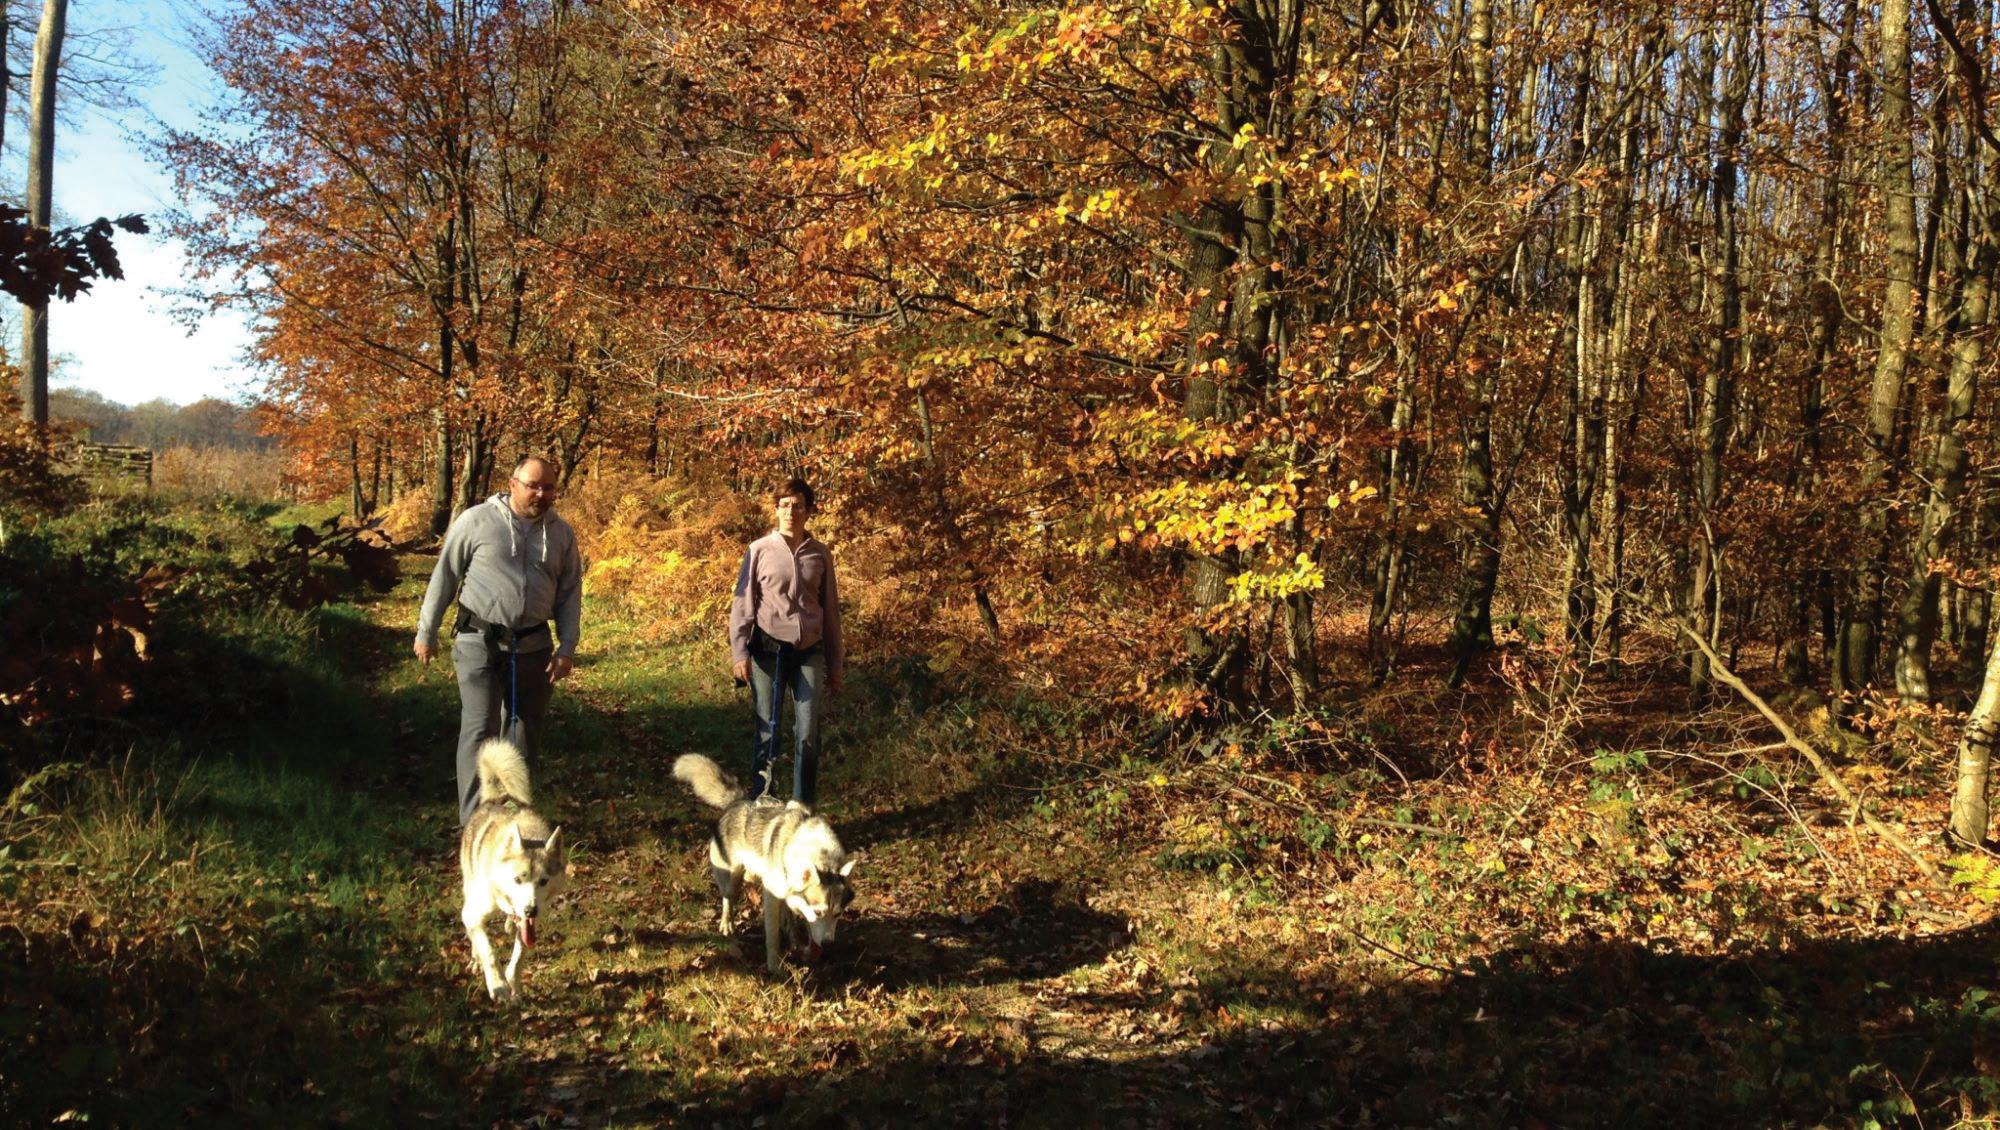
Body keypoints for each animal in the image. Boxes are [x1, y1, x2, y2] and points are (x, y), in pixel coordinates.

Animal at [458, 736, 568, 1000]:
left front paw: (513, 985)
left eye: (543, 881)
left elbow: (519, 956)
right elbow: (488, 950)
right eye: (518, 879)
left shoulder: (530, 923)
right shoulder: (473, 914)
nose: (530, 910)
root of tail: (496, 798)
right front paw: (497, 985)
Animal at [676, 752, 856, 972]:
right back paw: (727, 926)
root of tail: (738, 801)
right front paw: (775, 967)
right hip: (732, 880)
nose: (829, 944)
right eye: (819, 912)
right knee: (728, 899)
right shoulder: (772, 897)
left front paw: (802, 947)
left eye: (838, 914)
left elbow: (801, 925)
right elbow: (773, 937)